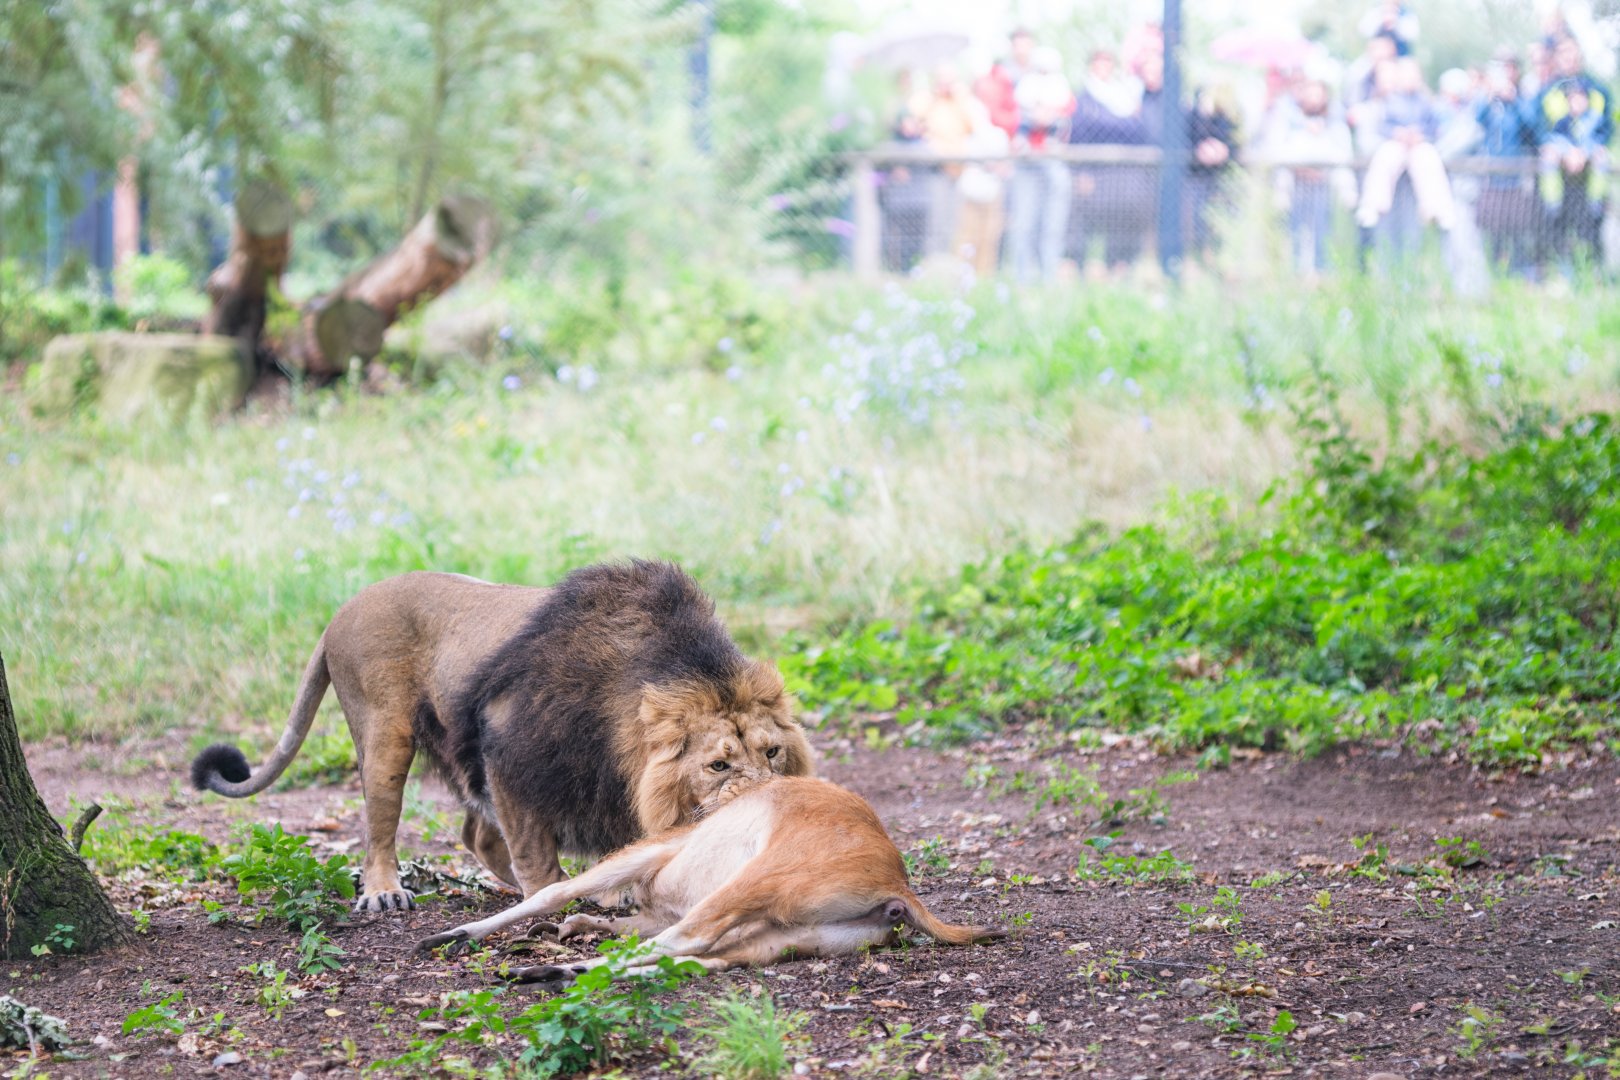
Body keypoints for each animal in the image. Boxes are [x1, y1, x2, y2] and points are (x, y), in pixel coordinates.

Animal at [189, 560, 813, 912]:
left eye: (772, 752)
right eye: (717, 764)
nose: (770, 798)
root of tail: (340, 611)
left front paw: (608, 887)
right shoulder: (507, 744)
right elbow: (535, 850)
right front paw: (551, 895)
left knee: (475, 833)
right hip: (386, 731)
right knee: (381, 827)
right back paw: (384, 891)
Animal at [417, 776, 1004, 978]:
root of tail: (896, 888)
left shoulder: (650, 853)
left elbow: (555, 892)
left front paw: (450, 936)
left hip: (751, 886)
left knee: (685, 942)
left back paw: (542, 971)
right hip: (785, 937)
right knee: (699, 958)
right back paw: (555, 971)